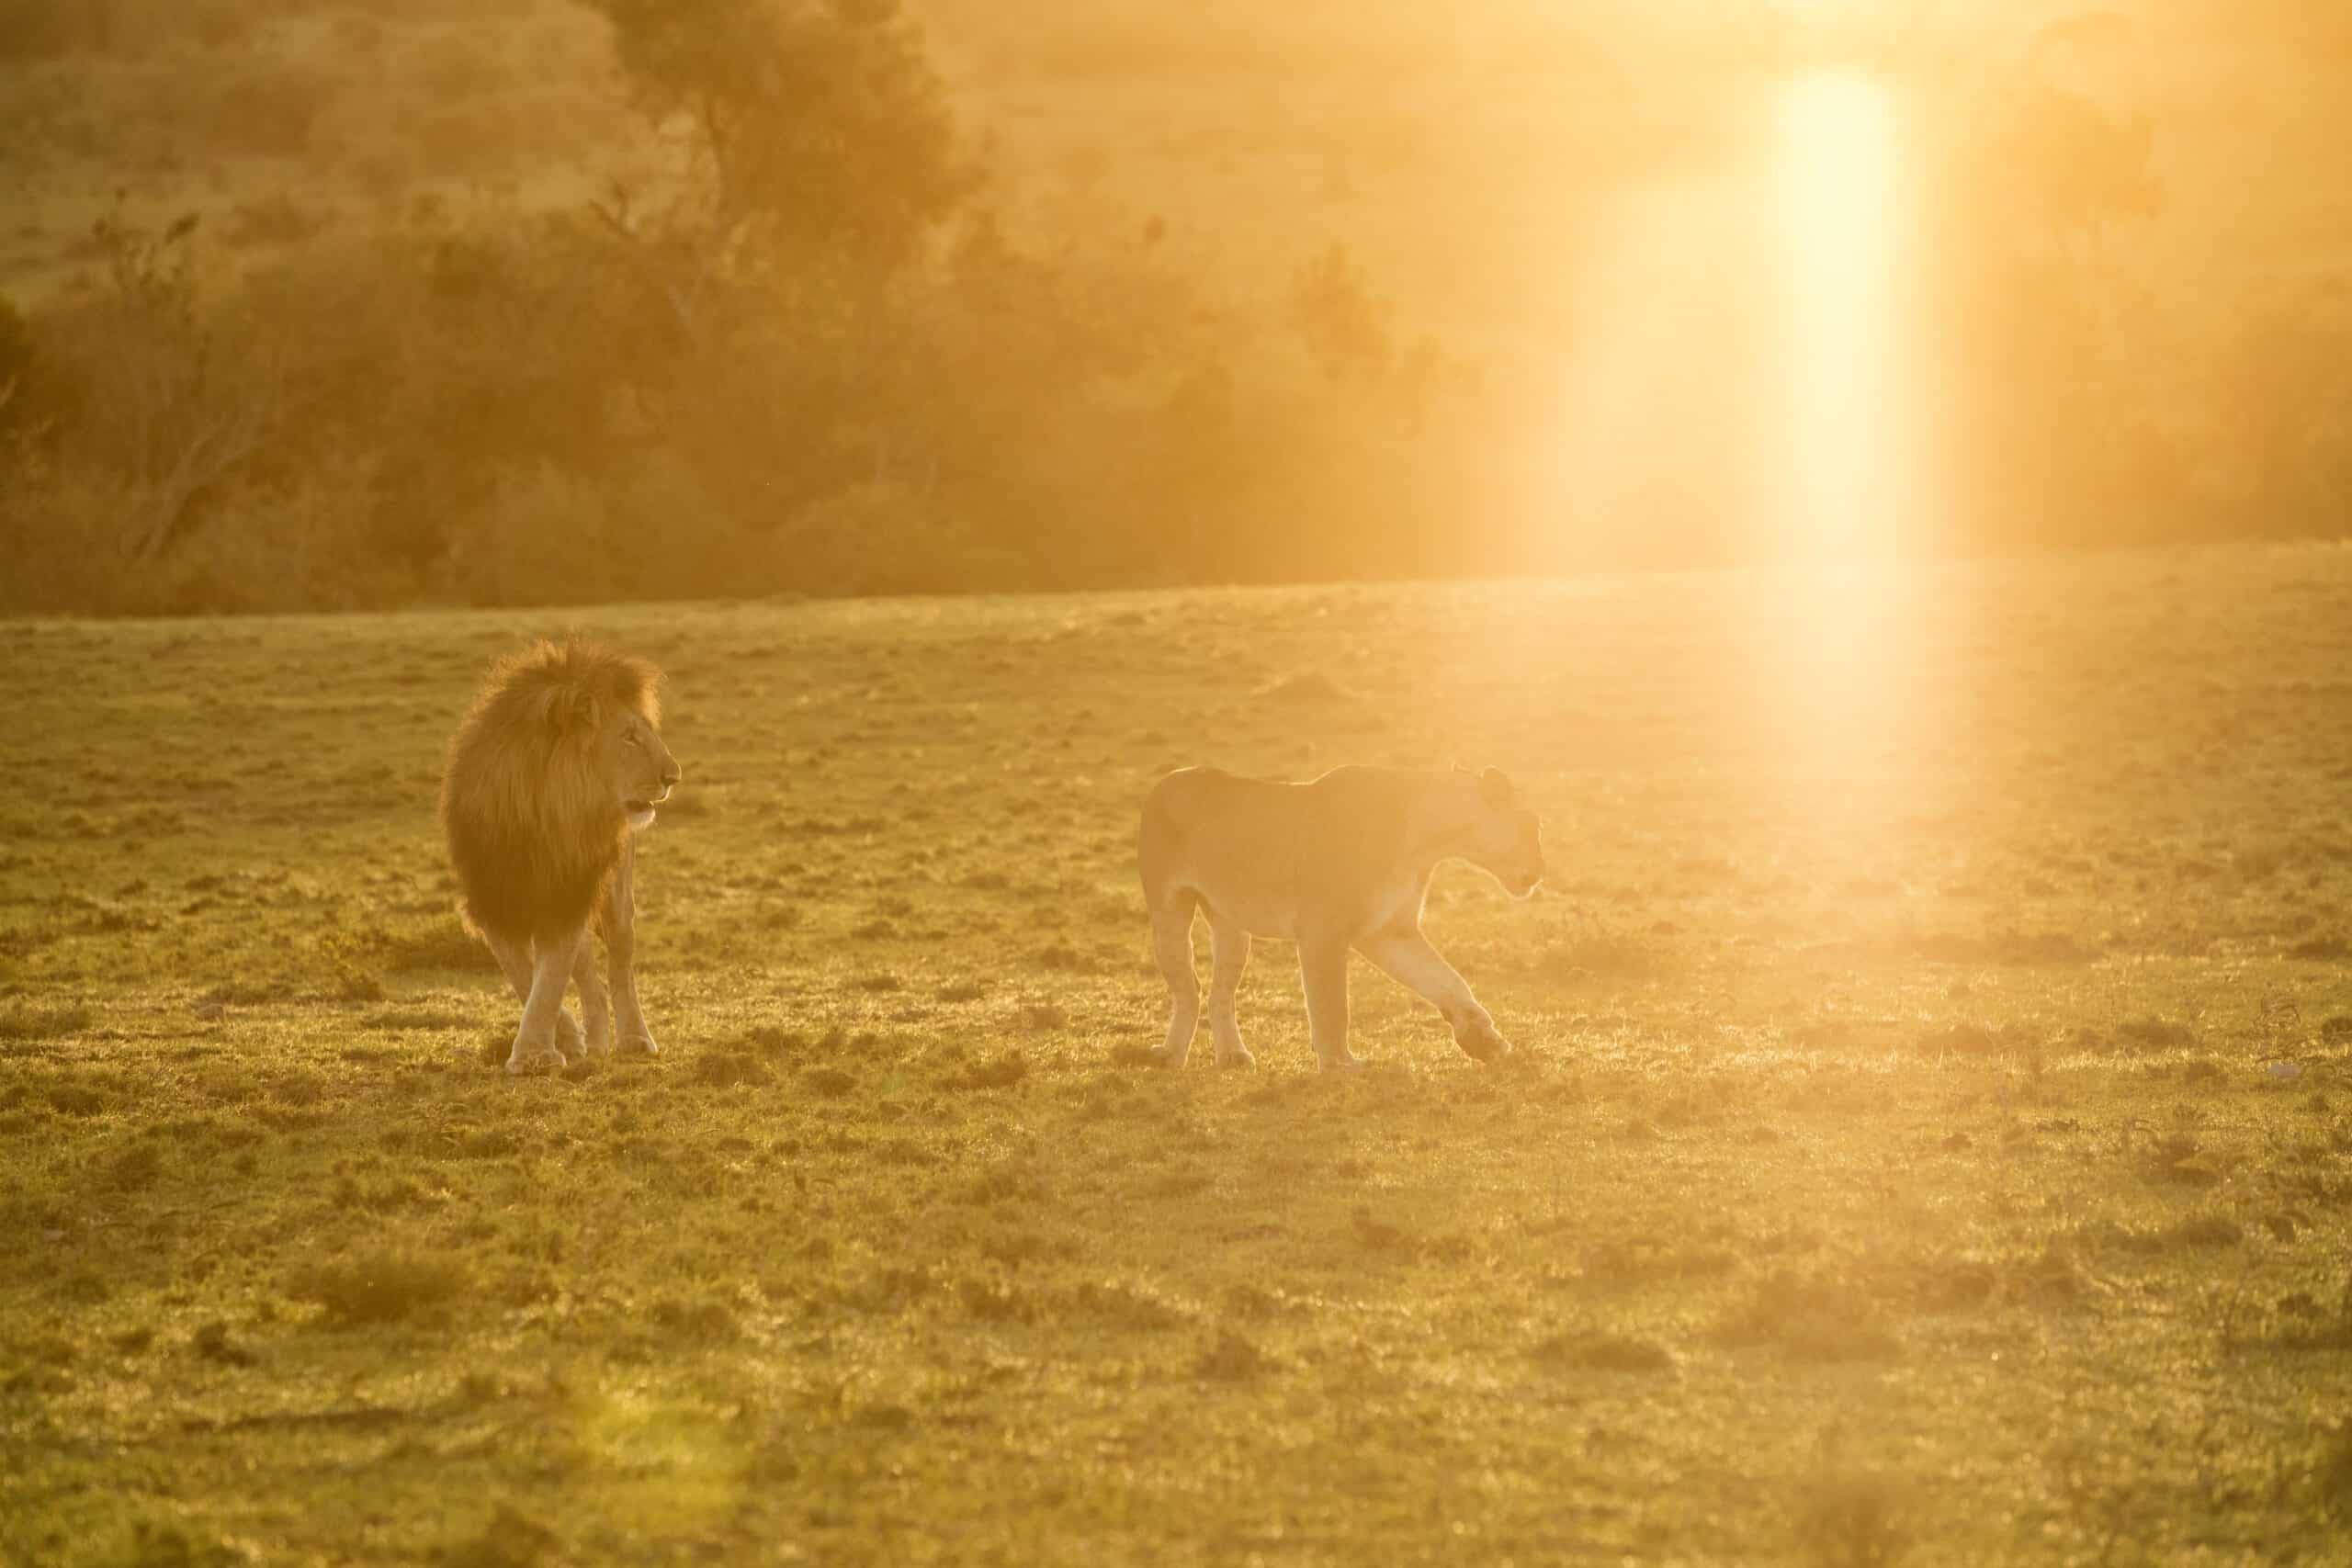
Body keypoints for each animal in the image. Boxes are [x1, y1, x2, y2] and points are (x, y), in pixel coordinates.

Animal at [442, 644, 682, 1072]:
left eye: (647, 733)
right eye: (629, 737)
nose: (673, 777)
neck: (541, 811)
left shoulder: (569, 888)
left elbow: (550, 975)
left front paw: (534, 1055)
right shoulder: (490, 895)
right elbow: (522, 972)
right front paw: (563, 1041)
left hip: (616, 891)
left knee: (620, 965)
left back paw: (634, 1039)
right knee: (589, 976)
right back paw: (594, 1041)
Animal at [1133, 761, 1543, 1081]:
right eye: (1532, 827)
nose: (1539, 873)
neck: (1428, 843)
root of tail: (1167, 779)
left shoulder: (1389, 932)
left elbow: (1448, 981)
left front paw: (1484, 1040)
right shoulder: (1322, 932)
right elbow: (1332, 1006)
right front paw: (1339, 1065)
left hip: (1230, 926)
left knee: (1220, 992)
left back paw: (1233, 1056)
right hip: (1168, 910)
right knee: (1188, 989)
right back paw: (1170, 1055)